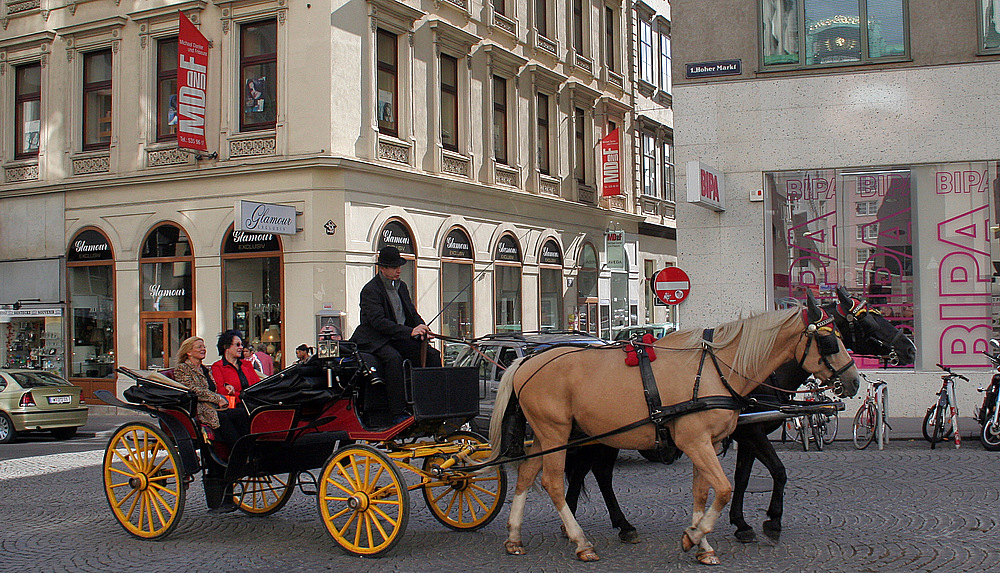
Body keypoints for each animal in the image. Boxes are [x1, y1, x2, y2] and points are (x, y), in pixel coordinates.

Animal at [486, 298, 860, 564]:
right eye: (829, 342)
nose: (854, 381)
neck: (717, 369)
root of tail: (527, 360)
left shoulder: (706, 443)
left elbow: (704, 493)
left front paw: (703, 543)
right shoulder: (698, 442)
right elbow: (725, 489)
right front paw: (696, 536)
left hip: (550, 436)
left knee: (528, 475)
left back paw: (515, 537)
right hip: (557, 434)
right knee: (553, 482)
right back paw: (581, 541)